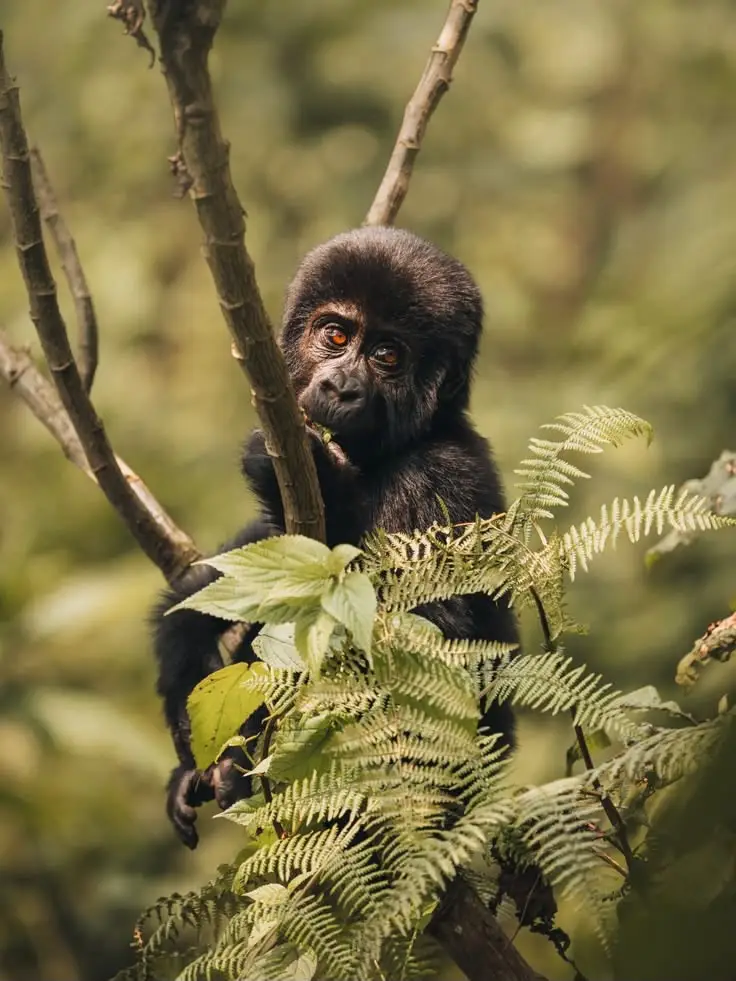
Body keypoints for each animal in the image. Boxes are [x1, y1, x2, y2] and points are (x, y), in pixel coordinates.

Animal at [152, 226, 520, 848]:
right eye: (335, 335)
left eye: (387, 355)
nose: (340, 386)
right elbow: (216, 581)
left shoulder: (443, 476)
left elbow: (431, 645)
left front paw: (323, 475)